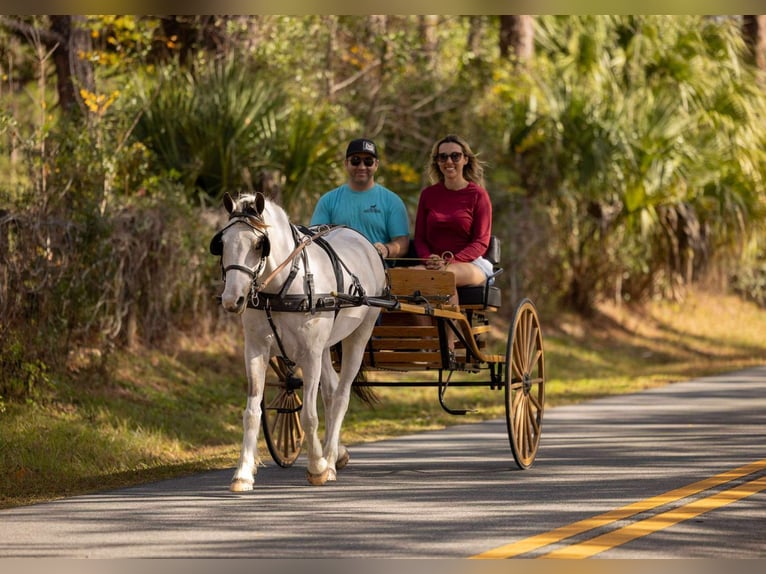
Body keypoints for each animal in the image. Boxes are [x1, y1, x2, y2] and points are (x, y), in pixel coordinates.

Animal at [210, 192, 388, 491]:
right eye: (222, 243)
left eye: (259, 244)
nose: (232, 300)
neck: (281, 287)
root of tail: (361, 239)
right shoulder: (256, 350)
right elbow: (252, 411)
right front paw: (243, 472)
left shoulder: (310, 354)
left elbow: (308, 415)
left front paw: (317, 467)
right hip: (326, 346)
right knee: (330, 392)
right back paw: (335, 454)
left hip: (358, 335)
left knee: (341, 396)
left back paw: (329, 462)